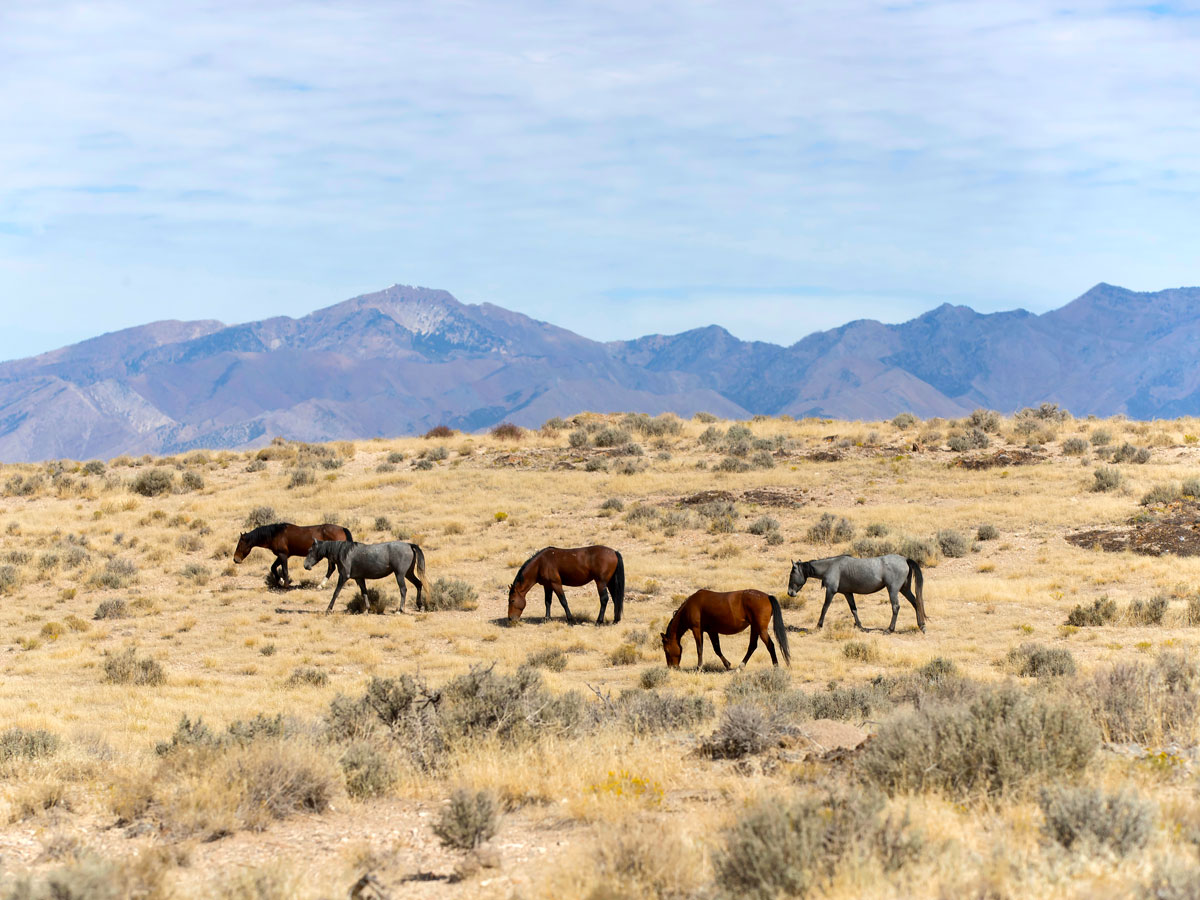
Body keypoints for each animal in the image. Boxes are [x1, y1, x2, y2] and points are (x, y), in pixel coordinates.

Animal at [660, 589, 790, 669]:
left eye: (666, 650)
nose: (672, 667)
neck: (690, 606)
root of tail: (767, 596)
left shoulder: (696, 629)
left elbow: (700, 649)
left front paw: (699, 667)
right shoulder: (712, 631)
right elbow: (717, 649)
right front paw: (727, 665)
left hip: (761, 629)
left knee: (770, 645)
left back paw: (776, 666)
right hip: (755, 628)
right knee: (752, 646)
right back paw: (740, 667)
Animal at [788, 554, 926, 633]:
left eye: (792, 573)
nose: (790, 593)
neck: (830, 566)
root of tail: (905, 559)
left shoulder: (831, 591)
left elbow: (825, 608)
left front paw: (819, 625)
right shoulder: (848, 593)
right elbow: (853, 609)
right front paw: (860, 626)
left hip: (893, 589)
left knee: (896, 607)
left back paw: (890, 629)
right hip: (904, 589)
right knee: (915, 603)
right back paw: (921, 626)